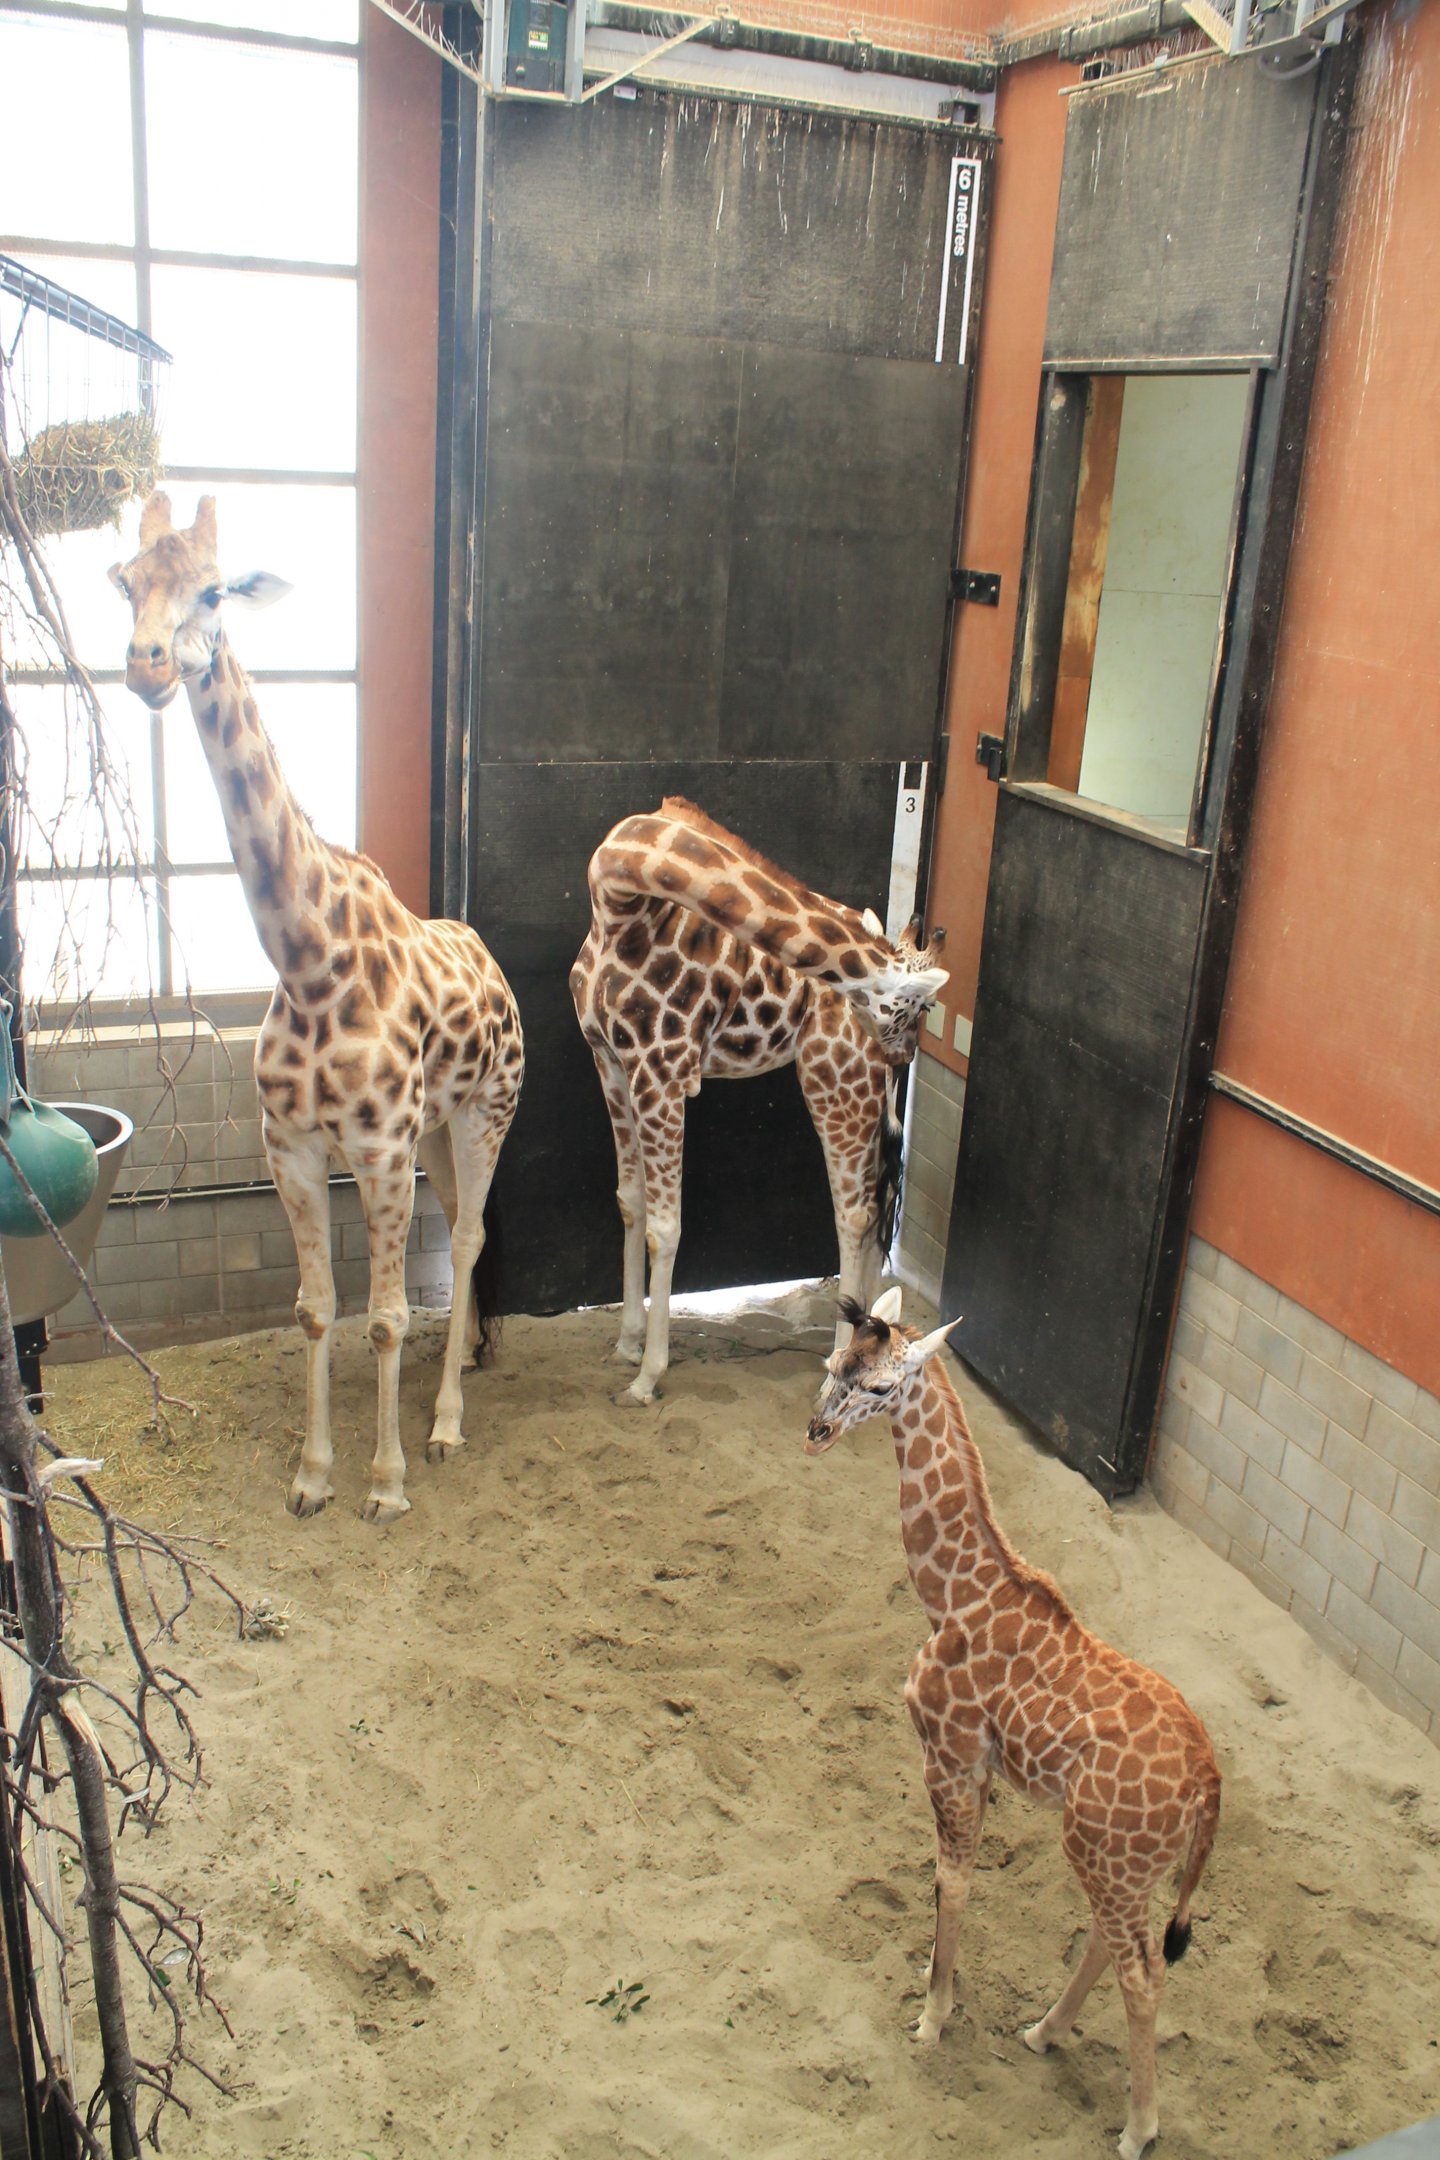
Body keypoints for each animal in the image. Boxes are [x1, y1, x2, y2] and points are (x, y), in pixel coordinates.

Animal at [110, 492, 524, 1523]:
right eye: (128, 582)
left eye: (213, 589)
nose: (147, 665)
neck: (306, 960)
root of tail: (490, 962)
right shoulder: (289, 1144)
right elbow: (315, 1308)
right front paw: (311, 1475)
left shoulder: (375, 1149)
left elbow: (382, 1316)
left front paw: (385, 1482)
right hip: (435, 1127)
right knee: (457, 1234)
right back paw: (454, 1377)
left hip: (486, 1109)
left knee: (468, 1236)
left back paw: (446, 1423)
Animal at [570, 798, 948, 1405]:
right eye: (921, 1006)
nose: (905, 1052)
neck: (619, 897)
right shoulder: (609, 1061)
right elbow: (630, 1203)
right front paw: (626, 1344)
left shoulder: (663, 1069)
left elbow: (664, 1228)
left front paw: (648, 1375)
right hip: (857, 1091)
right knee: (870, 1209)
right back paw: (868, 1338)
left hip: (832, 1079)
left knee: (855, 1212)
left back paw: (840, 1364)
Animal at [805, 1288, 1222, 2160]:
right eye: (832, 1364)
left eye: (881, 1386)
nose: (816, 1431)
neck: (952, 1595)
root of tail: (1210, 1784)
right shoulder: (984, 1769)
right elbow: (952, 1879)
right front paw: (942, 2000)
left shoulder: (950, 1755)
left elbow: (951, 1881)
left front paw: (931, 2019)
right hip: (1124, 1863)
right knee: (1114, 1941)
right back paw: (1042, 2032)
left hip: (1105, 1853)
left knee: (1146, 1970)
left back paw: (1138, 2129)